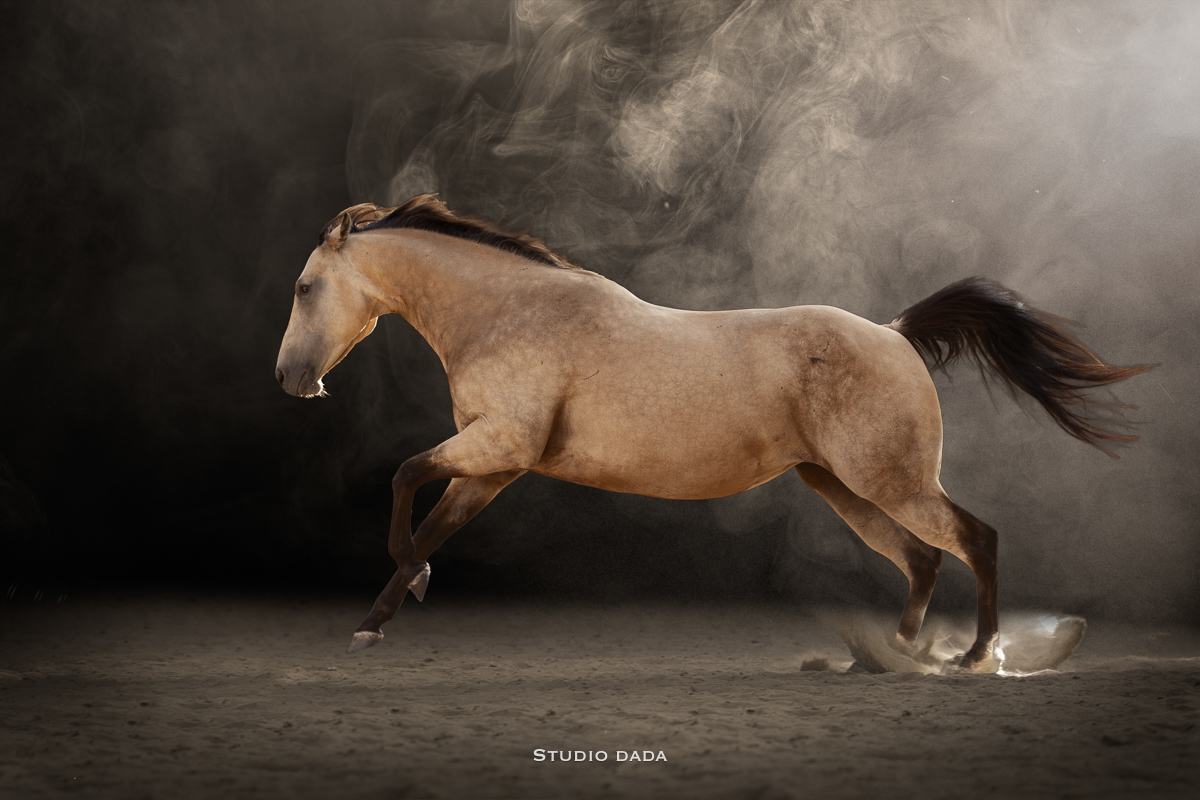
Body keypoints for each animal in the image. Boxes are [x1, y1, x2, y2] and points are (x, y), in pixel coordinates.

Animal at [275, 194, 1153, 672]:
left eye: (306, 285)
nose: (291, 379)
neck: (510, 313)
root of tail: (894, 332)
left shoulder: (502, 448)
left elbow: (402, 478)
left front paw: (398, 598)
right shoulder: (492, 465)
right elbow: (428, 520)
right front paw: (381, 616)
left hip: (891, 480)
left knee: (975, 538)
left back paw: (972, 656)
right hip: (844, 488)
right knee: (923, 557)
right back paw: (901, 653)